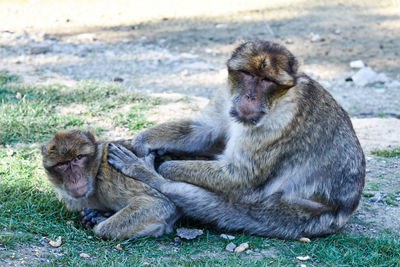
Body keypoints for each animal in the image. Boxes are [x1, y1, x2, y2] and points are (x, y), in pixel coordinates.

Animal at [41, 131, 177, 240]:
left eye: (78, 158)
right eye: (62, 164)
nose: (75, 178)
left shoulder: (110, 176)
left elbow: (157, 204)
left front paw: (98, 222)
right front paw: (90, 216)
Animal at [107, 40, 366, 240]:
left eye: (267, 81)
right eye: (248, 74)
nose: (250, 96)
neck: (280, 100)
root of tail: (345, 212)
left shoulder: (279, 124)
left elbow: (240, 176)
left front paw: (160, 165)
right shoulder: (227, 93)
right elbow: (204, 130)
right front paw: (142, 141)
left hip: (298, 216)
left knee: (225, 205)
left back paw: (149, 174)